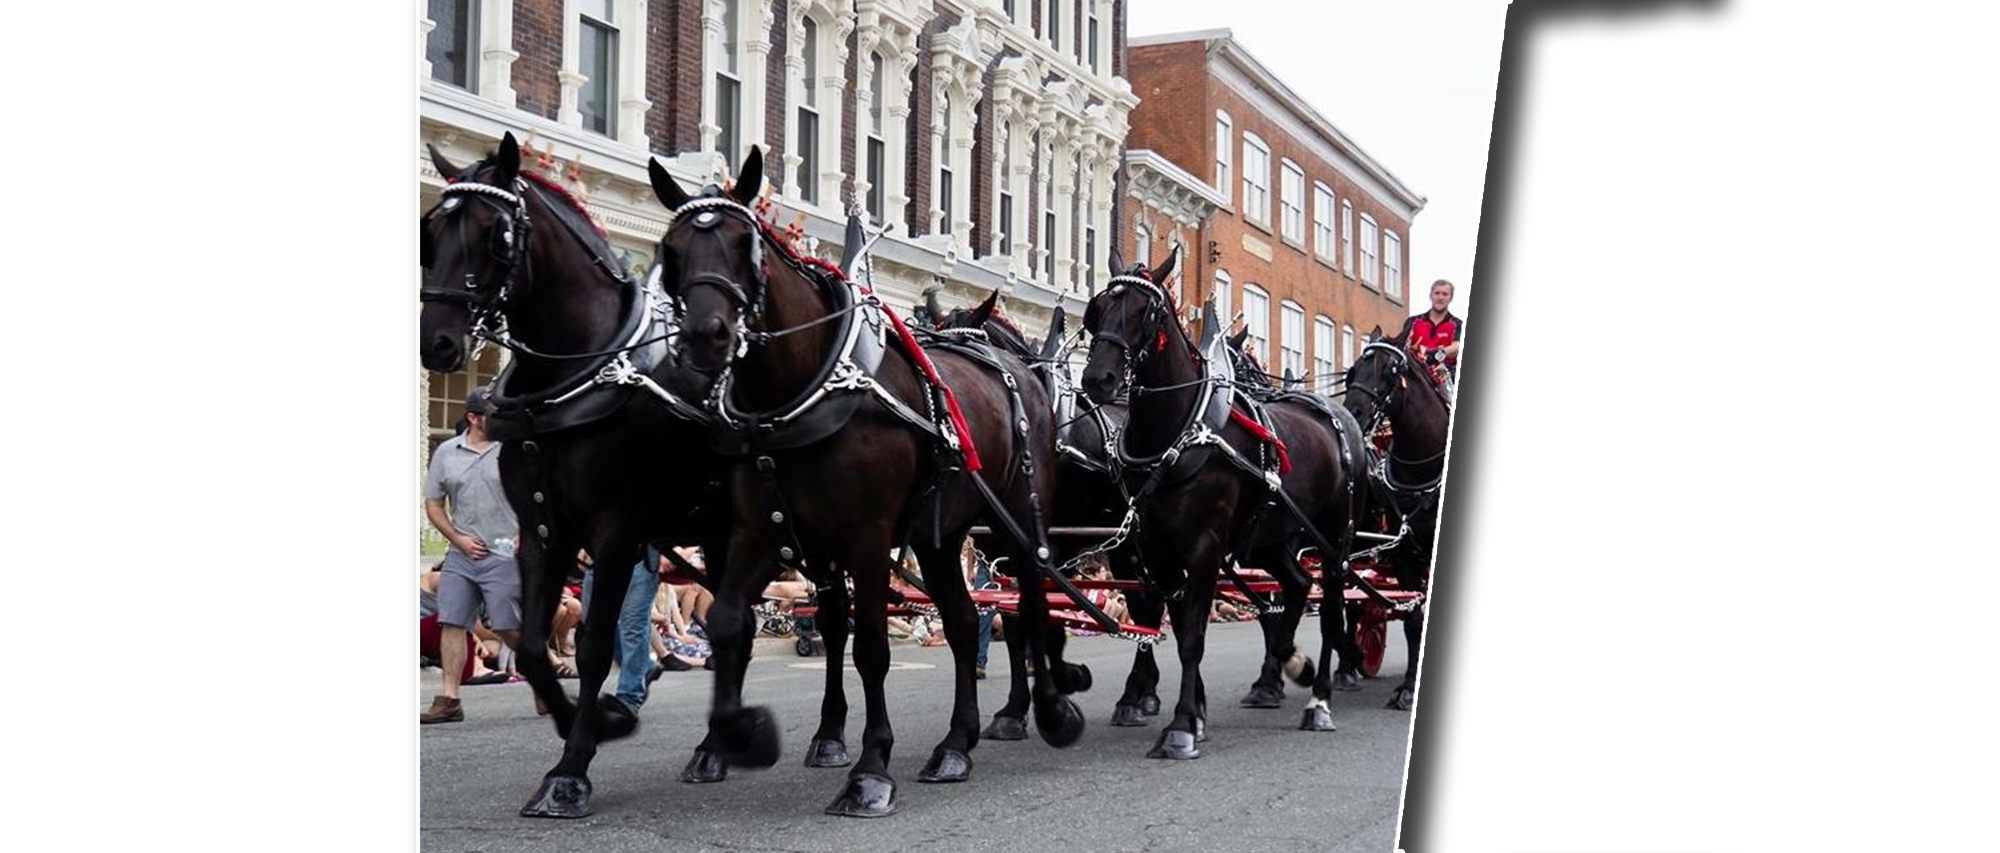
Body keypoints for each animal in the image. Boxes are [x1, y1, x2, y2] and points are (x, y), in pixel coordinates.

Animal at [644, 148, 1088, 820]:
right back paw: (955, 745)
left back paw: (1051, 712)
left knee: (1031, 604)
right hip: (940, 536)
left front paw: (870, 770)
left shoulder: (868, 538)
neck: (803, 391)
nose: (705, 335)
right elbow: (728, 623)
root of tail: (1022, 375)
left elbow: (871, 647)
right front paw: (743, 736)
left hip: (1014, 523)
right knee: (966, 623)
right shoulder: (760, 533)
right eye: (672, 249)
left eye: (744, 243)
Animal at [1080, 248, 1376, 760]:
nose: (1099, 378)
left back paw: (1318, 700)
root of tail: (1340, 415)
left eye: (1146, 312)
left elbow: (1192, 636)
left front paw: (1181, 726)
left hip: (1335, 542)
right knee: (1297, 587)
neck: (1180, 429)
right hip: (1270, 540)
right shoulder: (1157, 551)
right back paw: (1288, 663)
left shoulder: (1203, 547)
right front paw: (1195, 714)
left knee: (1331, 609)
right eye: (1097, 308)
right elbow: (1180, 624)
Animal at [1344, 326, 1456, 704]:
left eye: (1391, 370)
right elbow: (1413, 619)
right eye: (1353, 369)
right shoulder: (1403, 553)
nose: (1353, 412)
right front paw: (1408, 687)